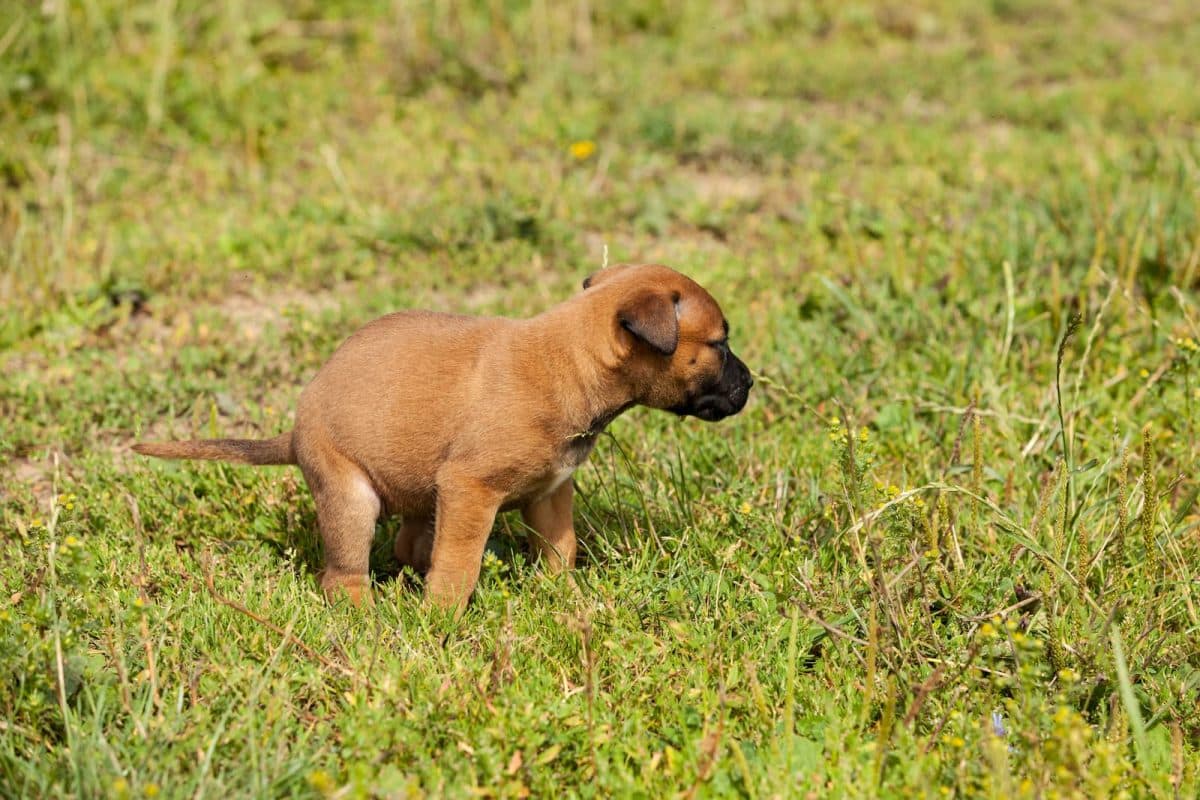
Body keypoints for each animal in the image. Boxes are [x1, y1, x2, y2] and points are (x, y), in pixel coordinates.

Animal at [133, 266, 748, 609]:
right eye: (719, 345)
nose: (749, 385)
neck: (568, 363)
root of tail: (296, 430)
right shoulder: (470, 489)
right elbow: (458, 566)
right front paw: (442, 622)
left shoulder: (551, 495)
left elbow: (560, 551)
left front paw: (569, 601)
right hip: (350, 497)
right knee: (342, 576)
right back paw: (367, 617)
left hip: (418, 493)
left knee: (409, 546)